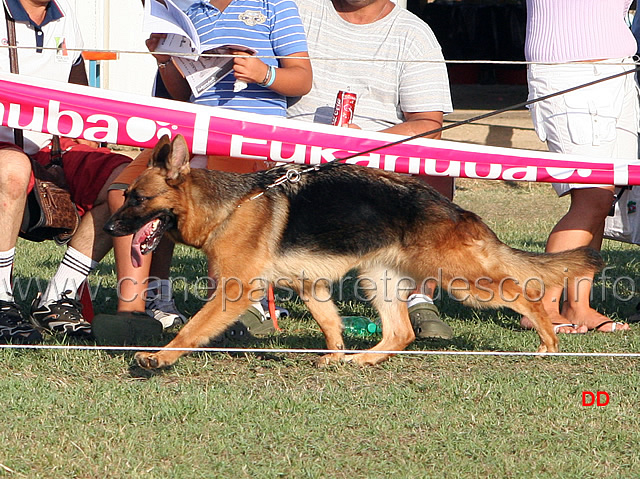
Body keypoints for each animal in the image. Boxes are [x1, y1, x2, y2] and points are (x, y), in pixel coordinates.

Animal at [104, 136, 600, 372]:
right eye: (125, 196)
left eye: (137, 199)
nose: (109, 228)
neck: (228, 207)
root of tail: (452, 208)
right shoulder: (312, 286)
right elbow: (330, 325)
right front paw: (338, 354)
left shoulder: (233, 291)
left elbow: (191, 330)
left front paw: (158, 359)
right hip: (378, 279)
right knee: (401, 333)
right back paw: (362, 360)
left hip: (462, 281)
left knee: (525, 292)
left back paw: (549, 342)